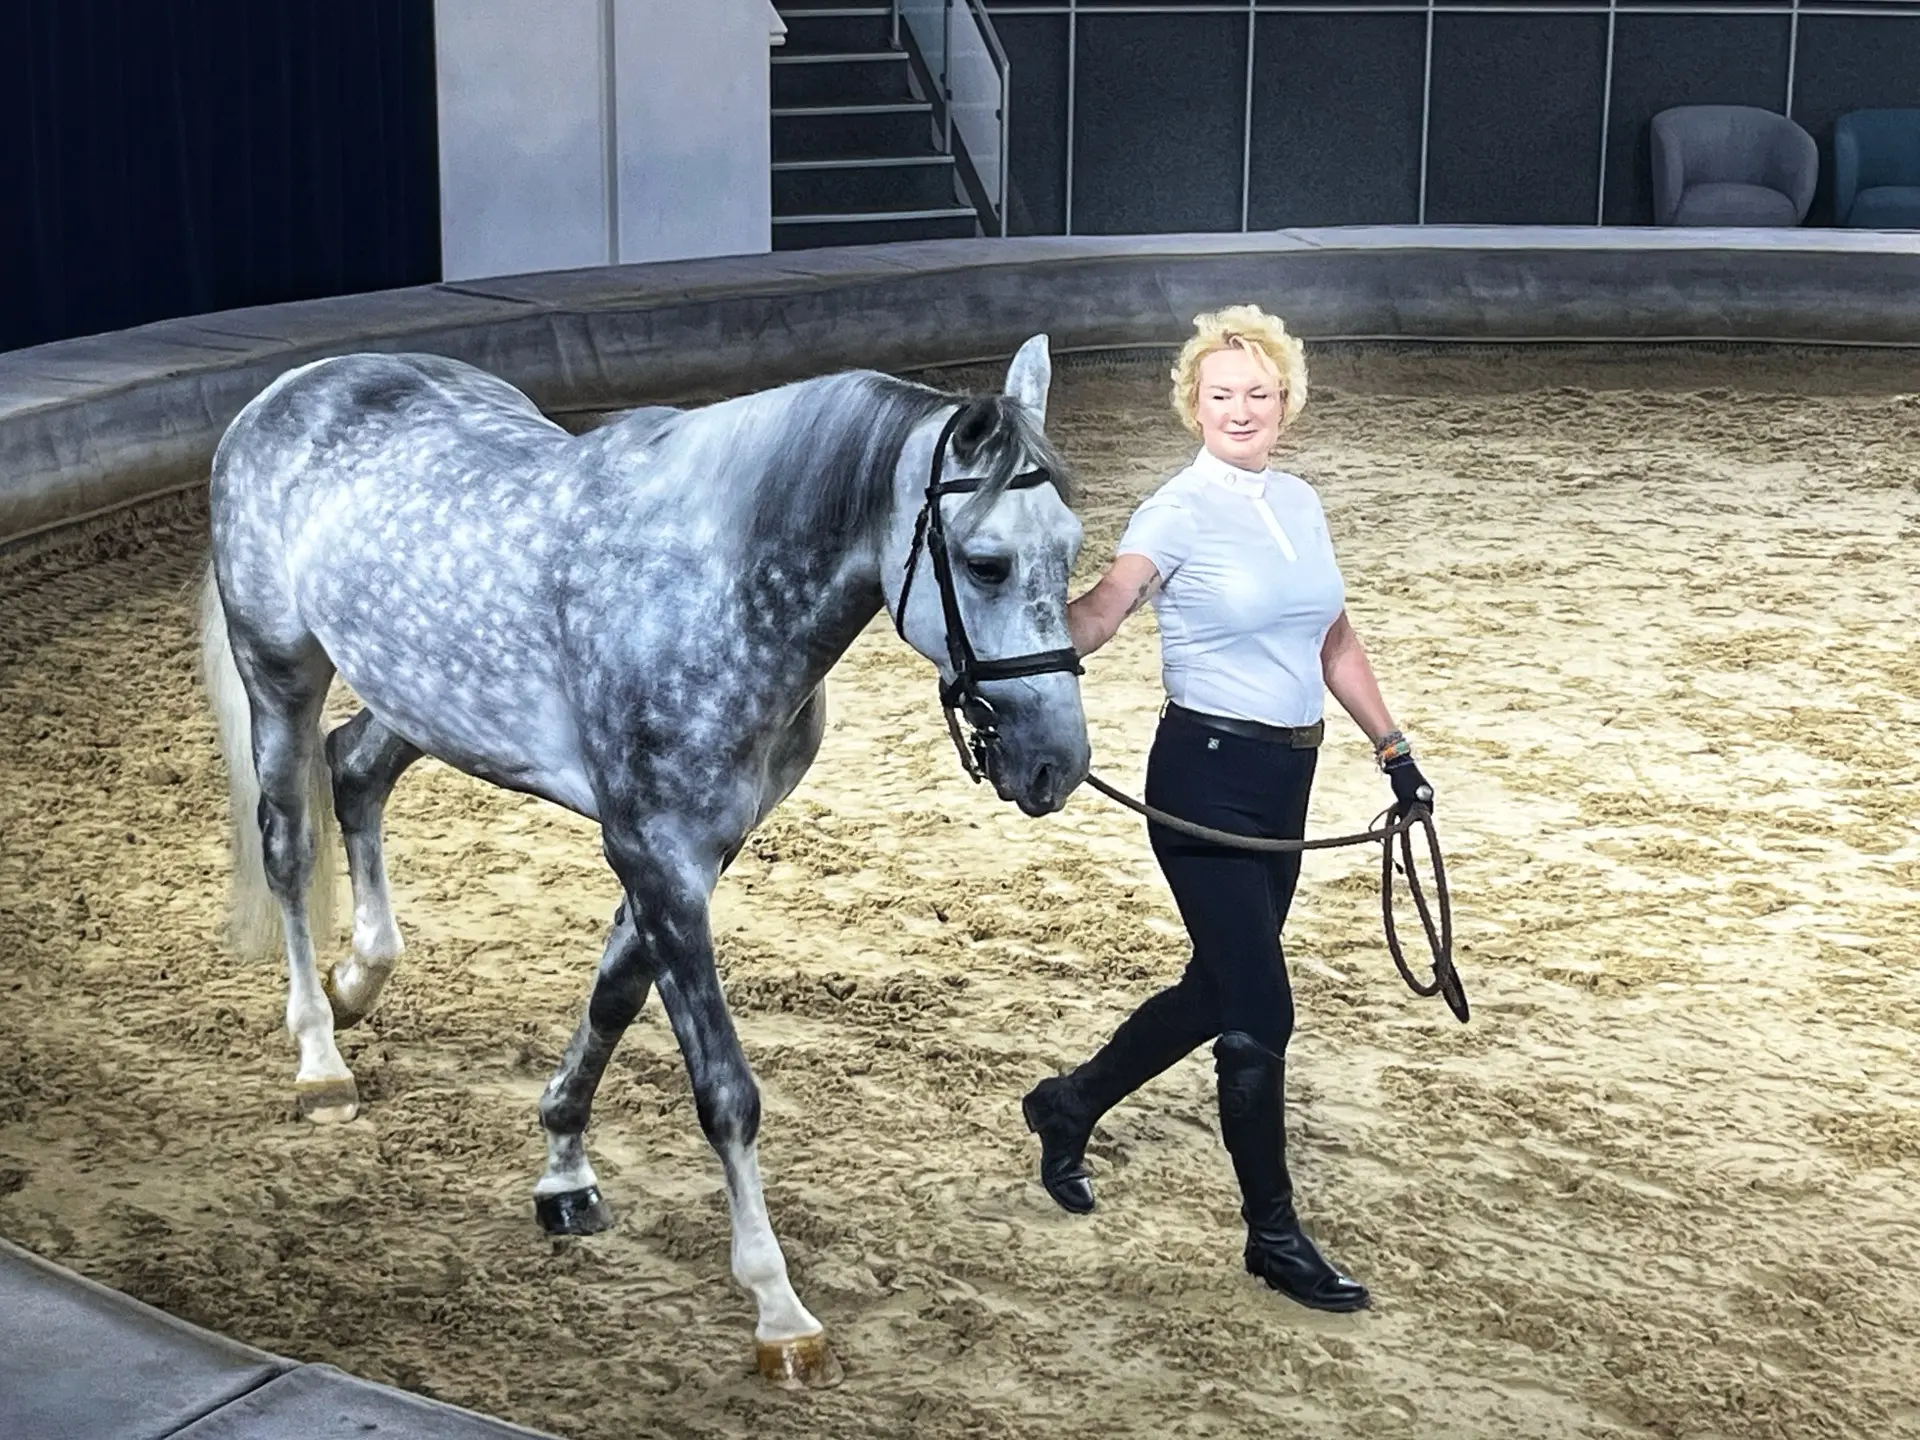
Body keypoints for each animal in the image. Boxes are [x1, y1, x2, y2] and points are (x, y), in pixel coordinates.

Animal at [195, 336, 1090, 1387]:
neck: (713, 590)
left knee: (356, 771)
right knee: (290, 843)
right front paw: (779, 1312)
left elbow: (614, 999)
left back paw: (361, 977)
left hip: (422, 697)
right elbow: (725, 1089)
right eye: (986, 564)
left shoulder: (691, 851)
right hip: (279, 671)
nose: (1056, 763)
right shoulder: (655, 850)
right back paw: (320, 1060)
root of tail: (296, 384)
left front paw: (563, 1172)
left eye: (1072, 546)